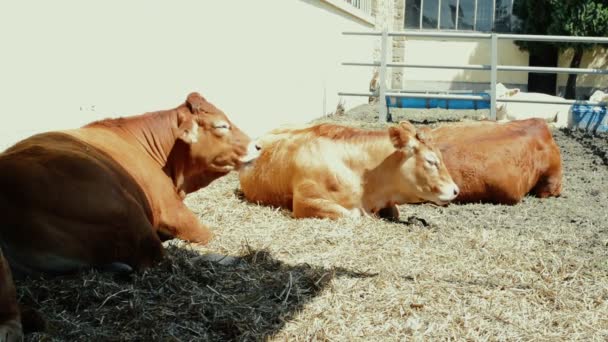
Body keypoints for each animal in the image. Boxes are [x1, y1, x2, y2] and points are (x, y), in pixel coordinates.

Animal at [0, 92, 258, 338]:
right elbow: (207, 235)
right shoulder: (172, 209)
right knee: (159, 258)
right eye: (221, 125)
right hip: (127, 210)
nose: (258, 146)